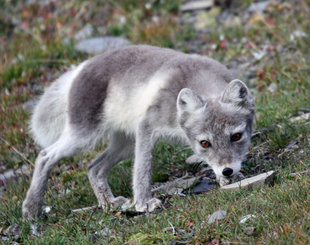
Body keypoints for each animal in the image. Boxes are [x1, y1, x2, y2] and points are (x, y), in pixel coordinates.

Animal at [21, 45, 254, 219]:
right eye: (204, 143)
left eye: (236, 136)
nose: (227, 170)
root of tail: (80, 68)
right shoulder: (147, 126)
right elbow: (142, 169)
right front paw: (143, 203)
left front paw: (228, 179)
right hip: (84, 136)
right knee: (45, 156)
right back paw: (31, 209)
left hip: (125, 144)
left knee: (93, 167)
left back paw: (108, 203)